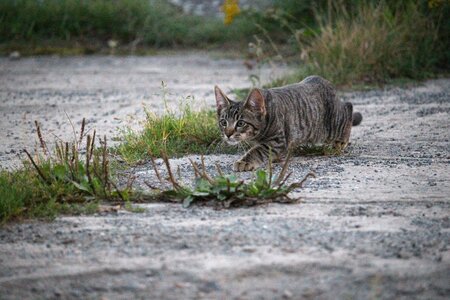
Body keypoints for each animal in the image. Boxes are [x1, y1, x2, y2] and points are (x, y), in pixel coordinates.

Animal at [214, 75, 362, 171]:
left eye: (240, 123)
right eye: (223, 122)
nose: (228, 134)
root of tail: (325, 81)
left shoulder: (277, 140)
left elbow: (258, 150)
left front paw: (244, 161)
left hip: (330, 126)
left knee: (348, 108)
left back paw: (341, 141)